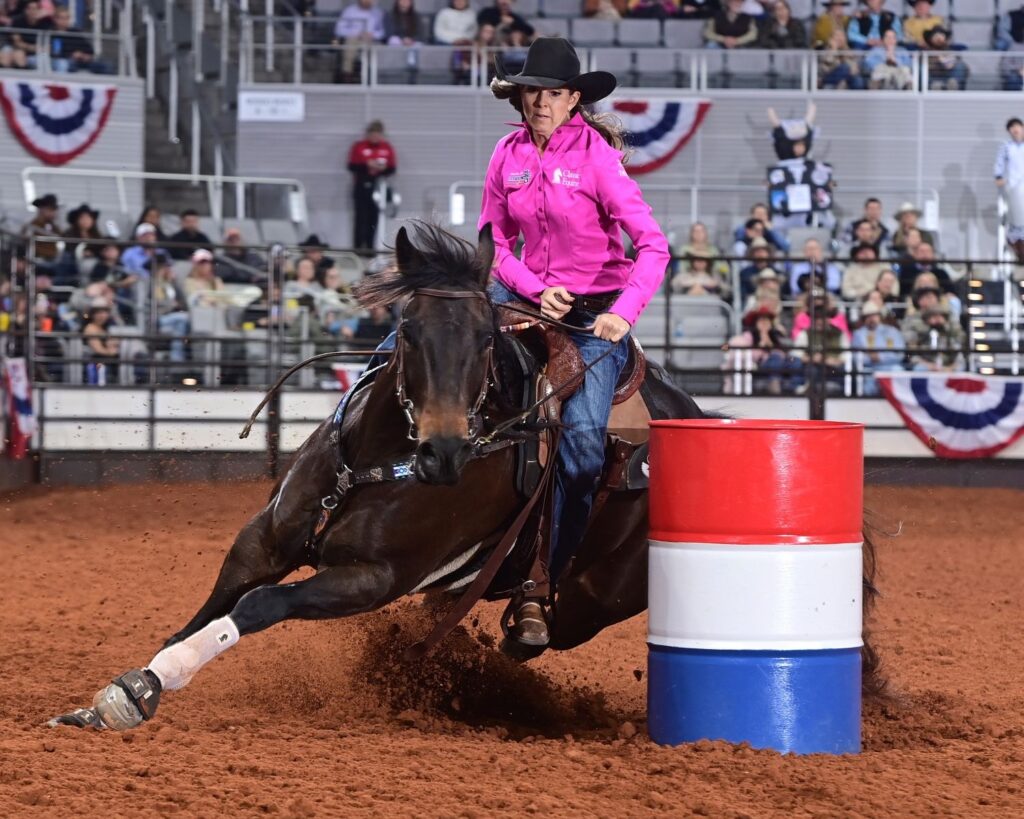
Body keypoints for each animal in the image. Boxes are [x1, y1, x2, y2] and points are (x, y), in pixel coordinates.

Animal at [49, 222, 880, 728]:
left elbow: (255, 609)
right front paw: (131, 688)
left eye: (484, 337)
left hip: (596, 601)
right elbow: (211, 604)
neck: (377, 457)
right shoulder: (264, 539)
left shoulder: (369, 579)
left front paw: (153, 684)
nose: (446, 453)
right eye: (408, 330)